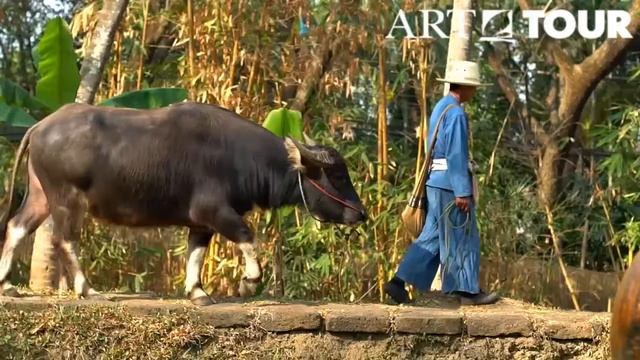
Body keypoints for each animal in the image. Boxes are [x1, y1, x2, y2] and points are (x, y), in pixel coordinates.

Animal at [0, 100, 364, 304]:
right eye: (337, 176)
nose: (359, 213)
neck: (241, 158)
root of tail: (40, 126)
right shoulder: (214, 211)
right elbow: (248, 237)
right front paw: (247, 283)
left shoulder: (201, 223)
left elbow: (196, 255)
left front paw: (197, 292)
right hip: (66, 198)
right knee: (65, 239)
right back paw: (87, 290)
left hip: (40, 194)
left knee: (17, 226)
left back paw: (6, 284)